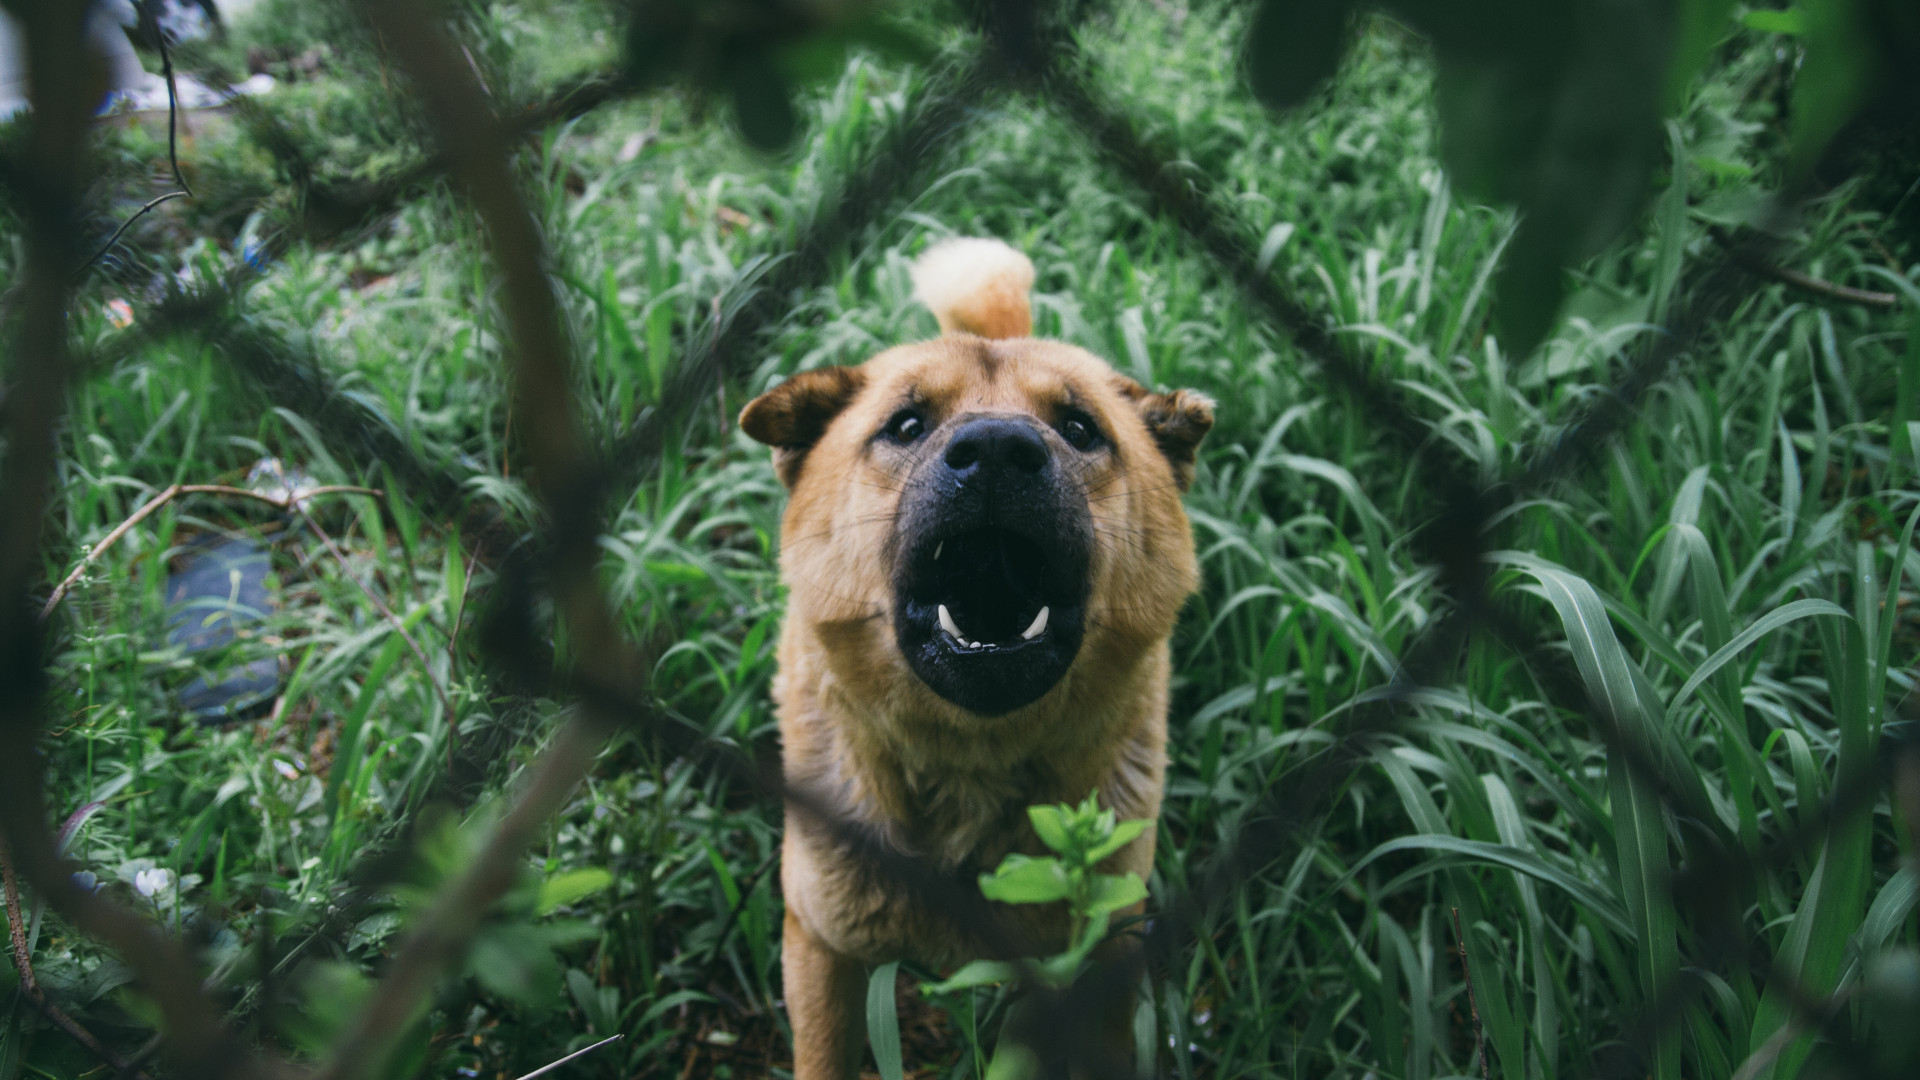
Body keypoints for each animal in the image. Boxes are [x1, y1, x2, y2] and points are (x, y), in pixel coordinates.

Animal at [737, 237, 1213, 1076]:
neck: (970, 767)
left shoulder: (1095, 960)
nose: (995, 447)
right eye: (907, 424)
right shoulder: (822, 946)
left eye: (1080, 428)